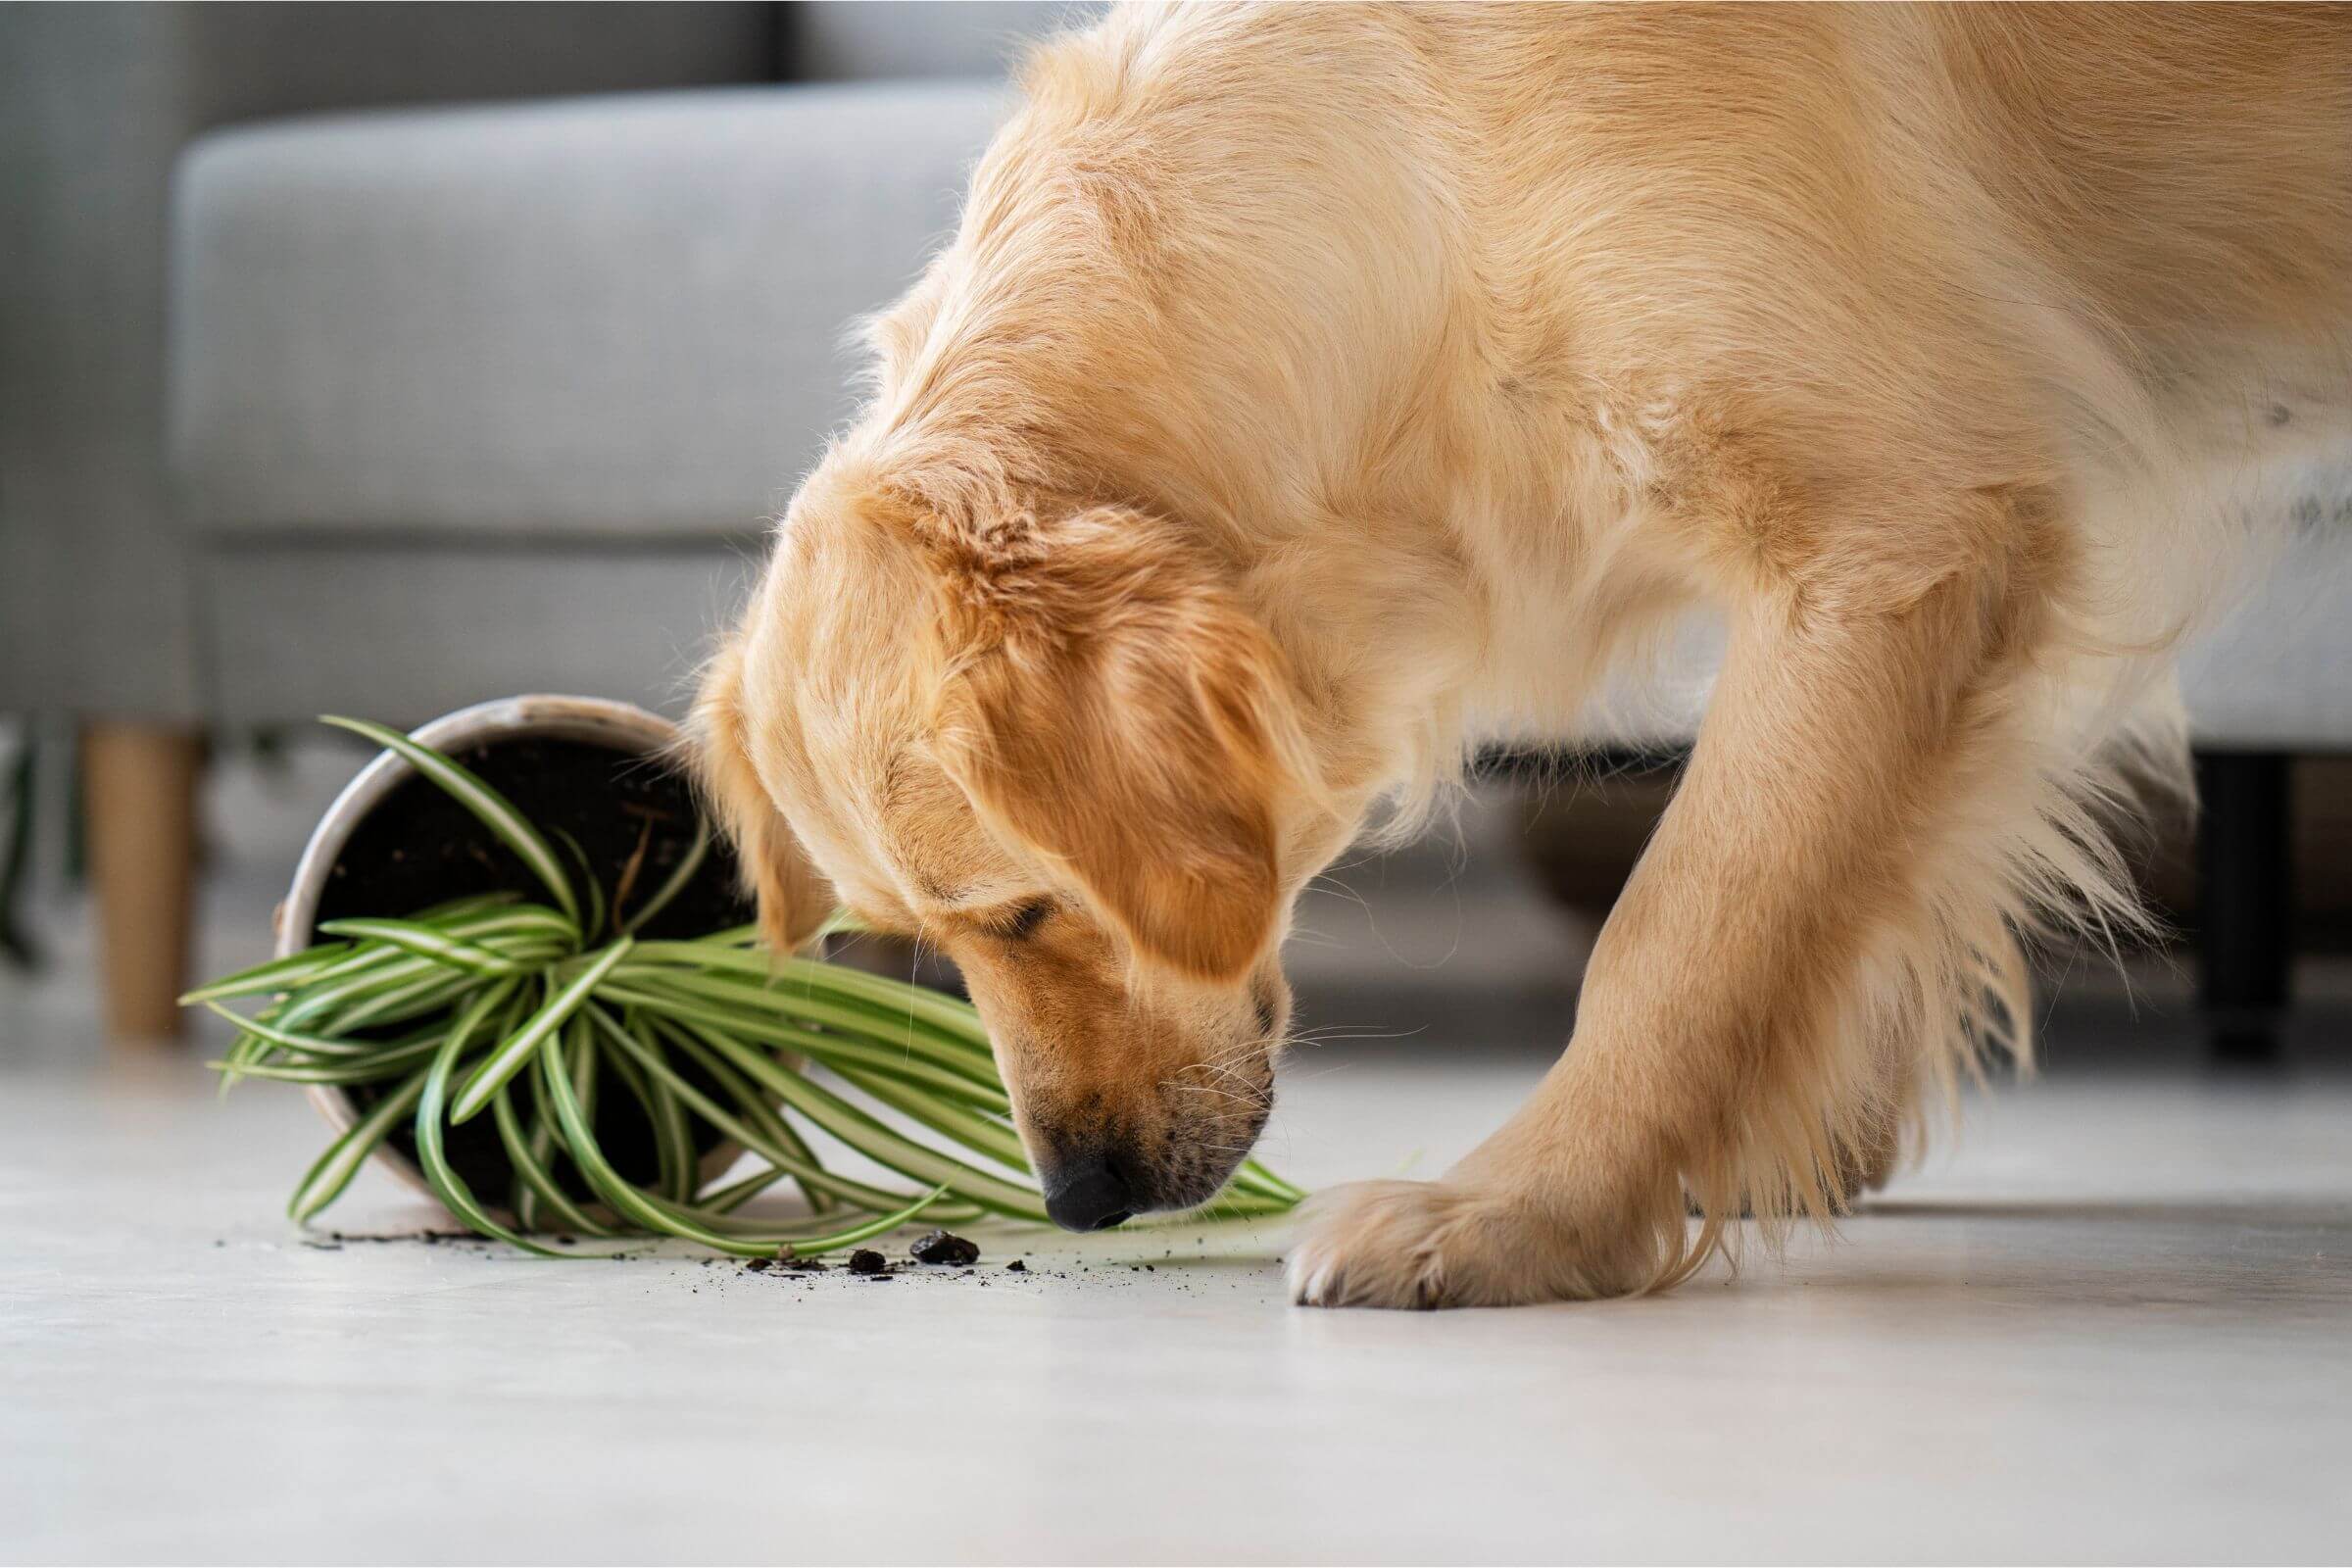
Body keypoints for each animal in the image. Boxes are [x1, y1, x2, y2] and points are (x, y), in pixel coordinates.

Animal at [686, 6, 2342, 1306]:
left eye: (1026, 913)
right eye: (928, 939)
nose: (1079, 1199)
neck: (1423, 176)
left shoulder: (1905, 532)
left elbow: (1687, 923)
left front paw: (1522, 1216)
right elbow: (1841, 889)